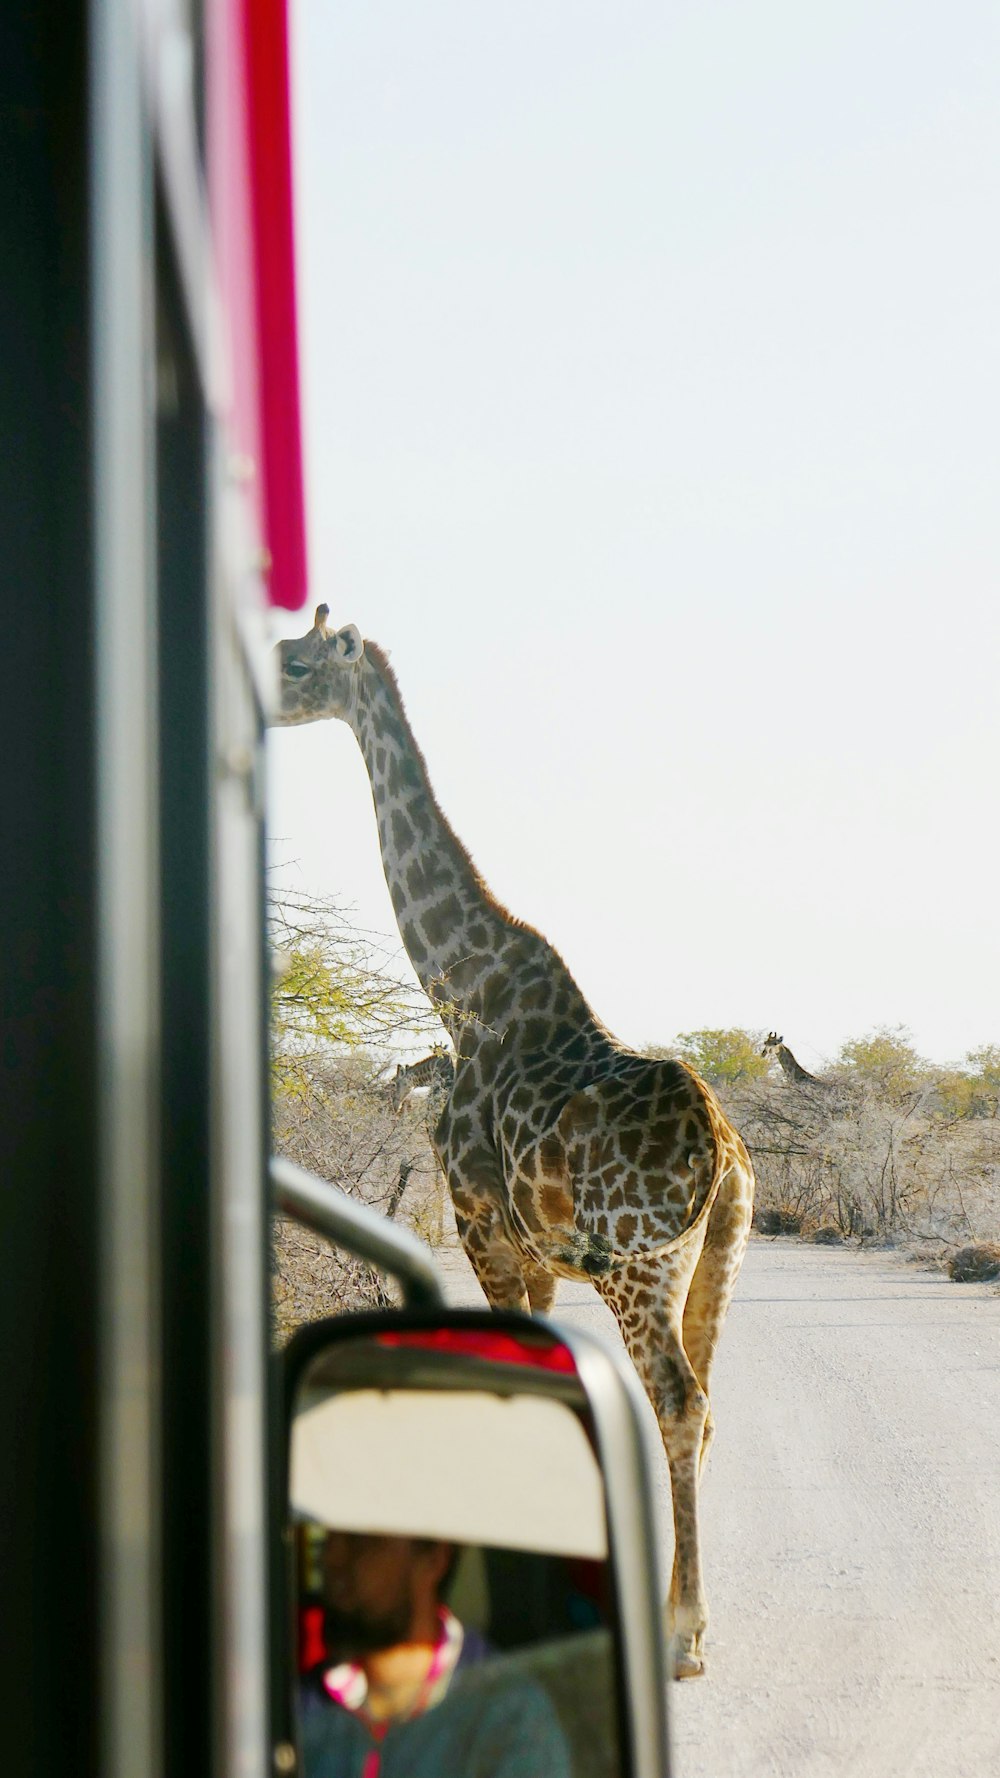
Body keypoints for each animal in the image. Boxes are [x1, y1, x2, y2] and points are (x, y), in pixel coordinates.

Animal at [268, 611, 750, 1678]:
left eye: (296, 662)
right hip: (714, 1262)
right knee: (702, 1406)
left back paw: (683, 1638)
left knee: (677, 1401)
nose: (253, 698)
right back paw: (684, 1621)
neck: (463, 992)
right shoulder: (528, 1256)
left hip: (639, 1268)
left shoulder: (481, 1225)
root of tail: (724, 1158)